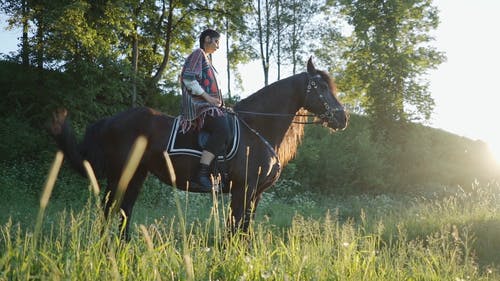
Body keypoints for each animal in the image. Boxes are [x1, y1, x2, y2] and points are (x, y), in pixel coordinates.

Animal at [50, 58, 348, 237]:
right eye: (321, 87)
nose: (343, 118)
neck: (256, 128)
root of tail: (111, 120)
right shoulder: (242, 190)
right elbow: (235, 230)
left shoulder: (255, 194)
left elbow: (244, 230)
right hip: (120, 175)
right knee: (109, 210)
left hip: (136, 175)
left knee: (124, 212)